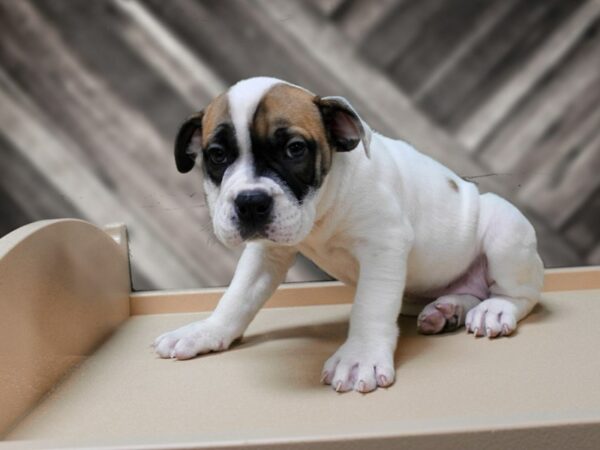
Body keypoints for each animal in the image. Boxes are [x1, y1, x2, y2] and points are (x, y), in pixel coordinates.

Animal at [154, 77, 544, 394]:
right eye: (217, 156)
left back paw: (495, 309)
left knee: (520, 295)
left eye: (295, 149)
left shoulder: (383, 246)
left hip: (506, 230)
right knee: (467, 290)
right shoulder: (266, 254)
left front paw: (361, 356)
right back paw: (447, 309)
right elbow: (237, 297)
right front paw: (207, 331)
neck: (324, 203)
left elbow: (370, 307)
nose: (250, 202)